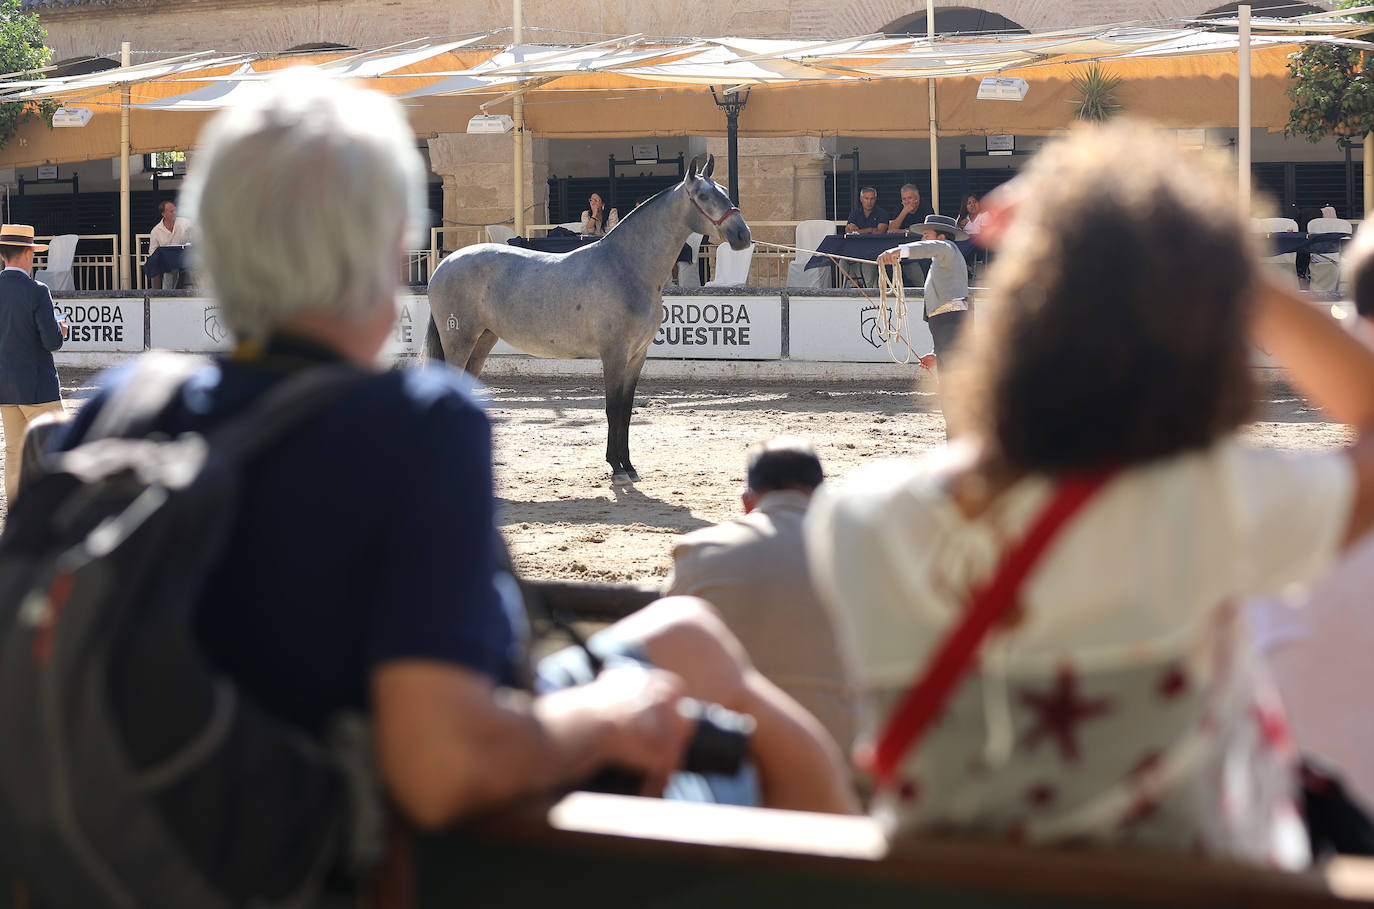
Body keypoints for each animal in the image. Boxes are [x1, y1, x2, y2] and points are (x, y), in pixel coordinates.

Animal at [425, 155, 752, 483]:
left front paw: (628, 465)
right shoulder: (614, 354)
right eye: (703, 196)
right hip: (459, 341)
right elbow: (612, 409)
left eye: (725, 190)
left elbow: (626, 411)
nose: (743, 235)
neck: (626, 266)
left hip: (483, 340)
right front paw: (616, 467)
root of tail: (444, 264)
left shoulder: (637, 356)